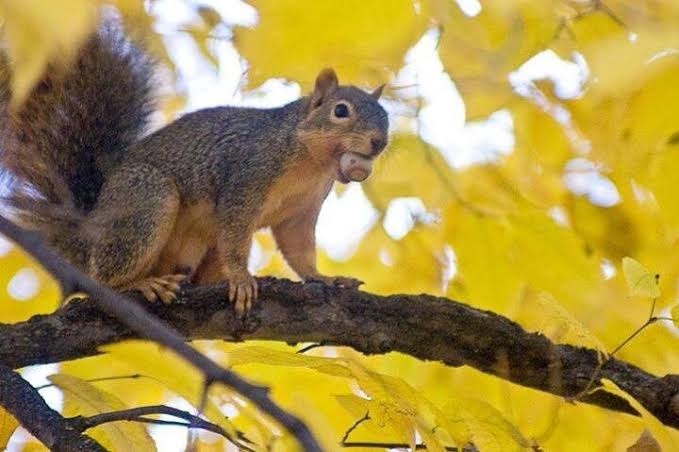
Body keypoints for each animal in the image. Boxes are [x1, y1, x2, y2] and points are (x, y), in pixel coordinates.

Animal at [0, 23, 388, 315]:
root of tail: (89, 230)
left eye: (386, 118)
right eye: (341, 111)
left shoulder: (302, 210)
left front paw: (324, 278)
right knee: (106, 276)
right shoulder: (246, 176)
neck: (311, 162)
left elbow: (299, 250)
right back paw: (143, 283)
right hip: (147, 199)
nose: (379, 142)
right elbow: (236, 232)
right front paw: (241, 278)